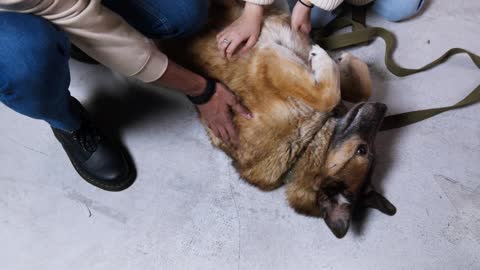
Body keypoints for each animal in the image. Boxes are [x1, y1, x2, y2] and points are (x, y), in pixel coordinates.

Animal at [161, 3, 394, 236]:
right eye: (362, 150)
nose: (383, 107)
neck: (306, 144)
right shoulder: (273, 61)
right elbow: (345, 93)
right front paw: (338, 58)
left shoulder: (271, 62)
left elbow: (340, 93)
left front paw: (336, 60)